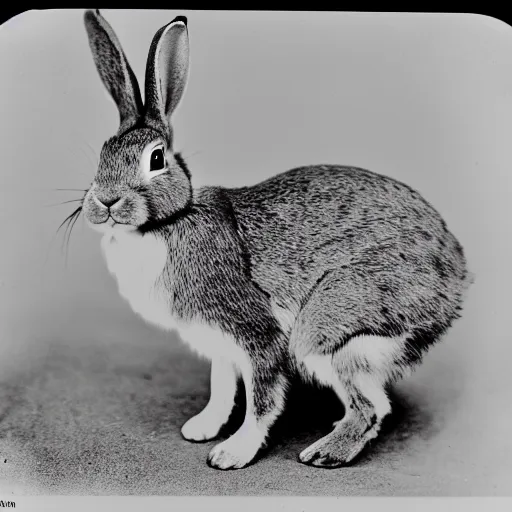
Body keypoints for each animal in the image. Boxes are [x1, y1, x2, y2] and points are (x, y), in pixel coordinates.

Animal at [81, 9, 472, 472]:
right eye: (101, 154)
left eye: (156, 158)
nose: (105, 201)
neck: (168, 221)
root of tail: (455, 279)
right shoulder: (220, 344)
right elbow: (222, 386)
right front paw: (201, 428)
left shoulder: (255, 331)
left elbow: (261, 400)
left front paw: (231, 453)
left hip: (325, 328)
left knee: (371, 407)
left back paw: (323, 452)